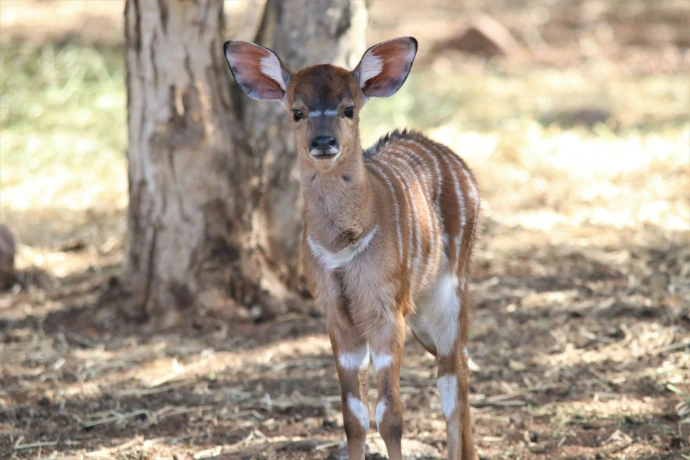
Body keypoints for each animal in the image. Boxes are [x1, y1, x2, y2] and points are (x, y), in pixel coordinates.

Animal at [224, 36, 480, 460]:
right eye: (297, 111)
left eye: (349, 109)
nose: (323, 142)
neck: (341, 246)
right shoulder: (337, 318)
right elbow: (353, 417)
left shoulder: (385, 313)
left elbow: (390, 415)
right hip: (422, 309)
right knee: (454, 368)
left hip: (451, 290)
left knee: (454, 374)